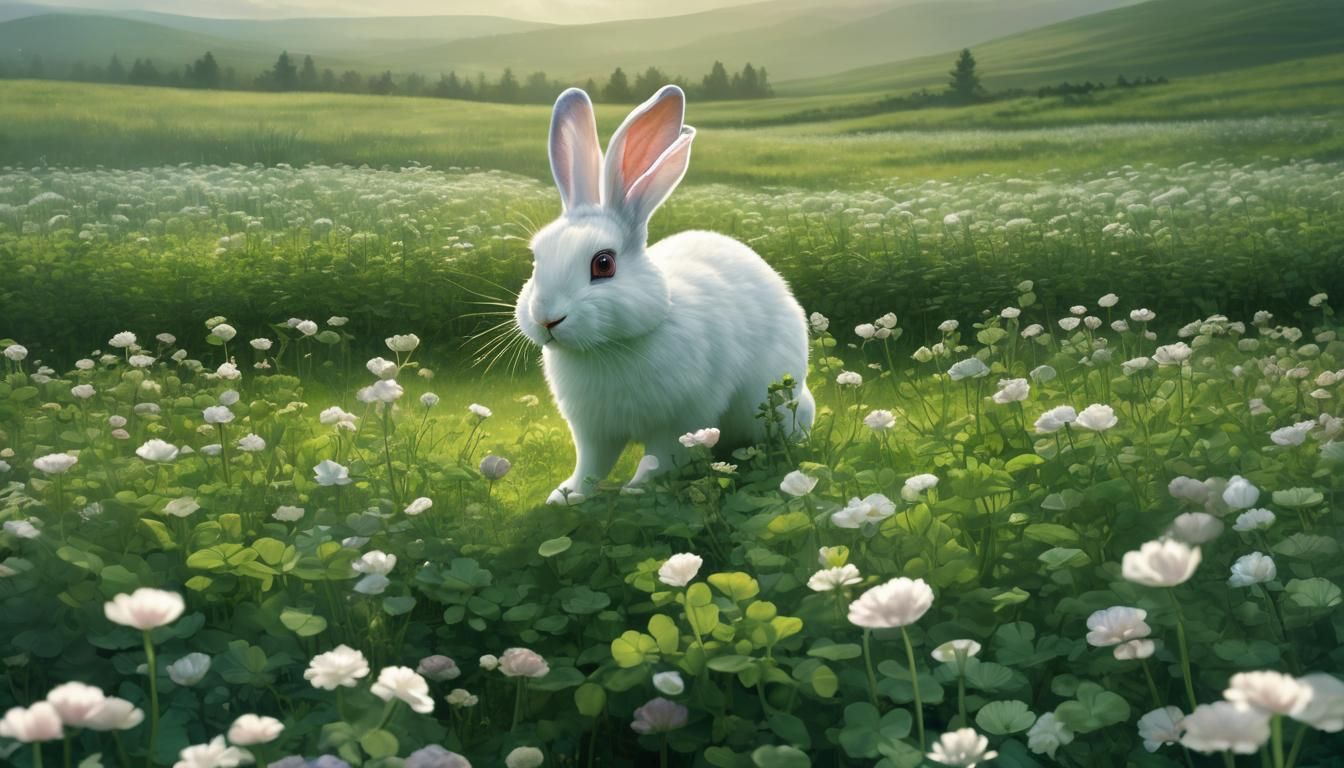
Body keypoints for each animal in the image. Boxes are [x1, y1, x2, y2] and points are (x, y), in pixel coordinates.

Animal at [514, 84, 815, 505]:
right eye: (535, 259)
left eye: (603, 264)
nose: (546, 318)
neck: (609, 347)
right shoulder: (593, 431)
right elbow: (591, 465)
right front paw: (566, 495)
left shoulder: (683, 420)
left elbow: (659, 459)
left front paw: (634, 491)